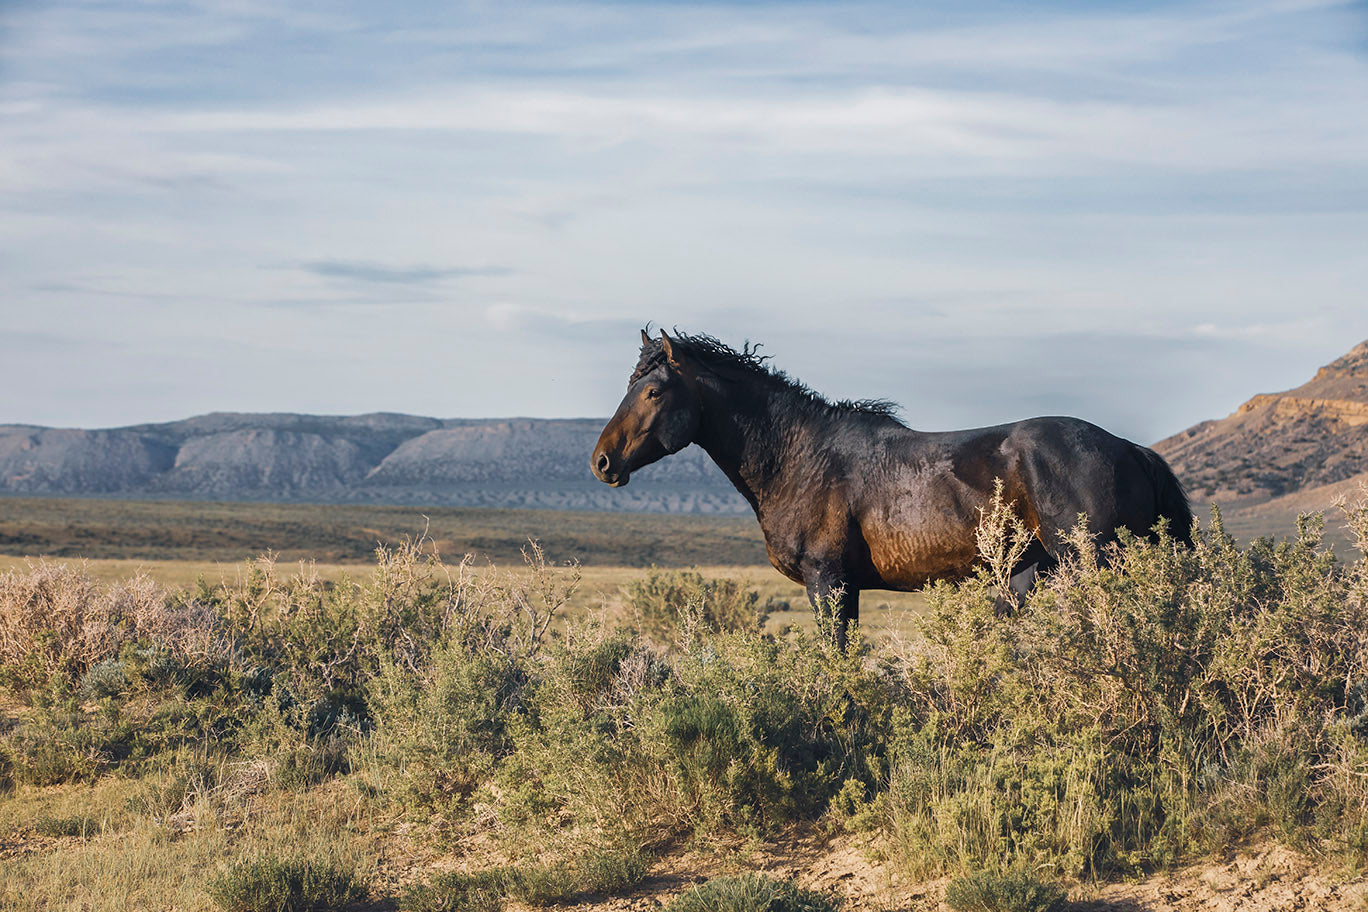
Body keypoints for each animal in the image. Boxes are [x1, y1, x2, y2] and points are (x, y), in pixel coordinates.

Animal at [591, 330, 1193, 646]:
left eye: (653, 392)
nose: (601, 462)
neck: (800, 455)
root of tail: (1129, 448)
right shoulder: (847, 588)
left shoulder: (827, 582)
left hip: (1090, 564)